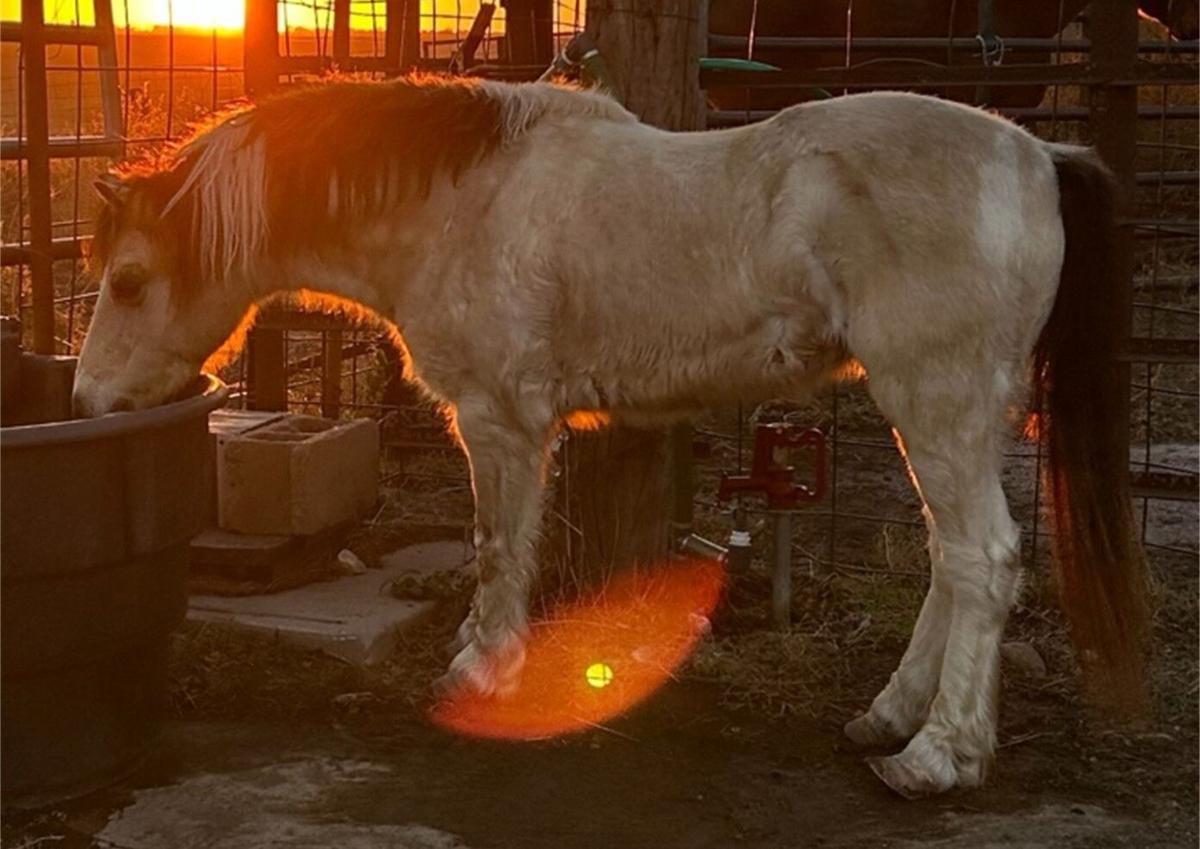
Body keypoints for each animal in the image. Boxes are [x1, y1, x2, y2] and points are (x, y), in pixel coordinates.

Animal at [74, 75, 1147, 798]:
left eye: (128, 280)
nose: (86, 402)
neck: (463, 200)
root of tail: (1038, 160)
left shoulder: (501, 421)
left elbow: (498, 546)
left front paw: (481, 668)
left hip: (937, 399)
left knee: (984, 559)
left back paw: (937, 755)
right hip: (958, 413)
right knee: (949, 559)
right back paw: (887, 716)